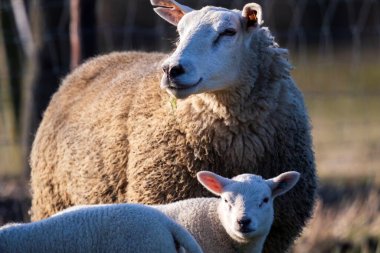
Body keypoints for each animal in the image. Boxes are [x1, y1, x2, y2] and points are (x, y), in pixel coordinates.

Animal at [29, 0, 318, 252]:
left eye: (228, 32)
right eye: (180, 31)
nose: (171, 70)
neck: (238, 145)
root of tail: (99, 59)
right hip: (52, 200)